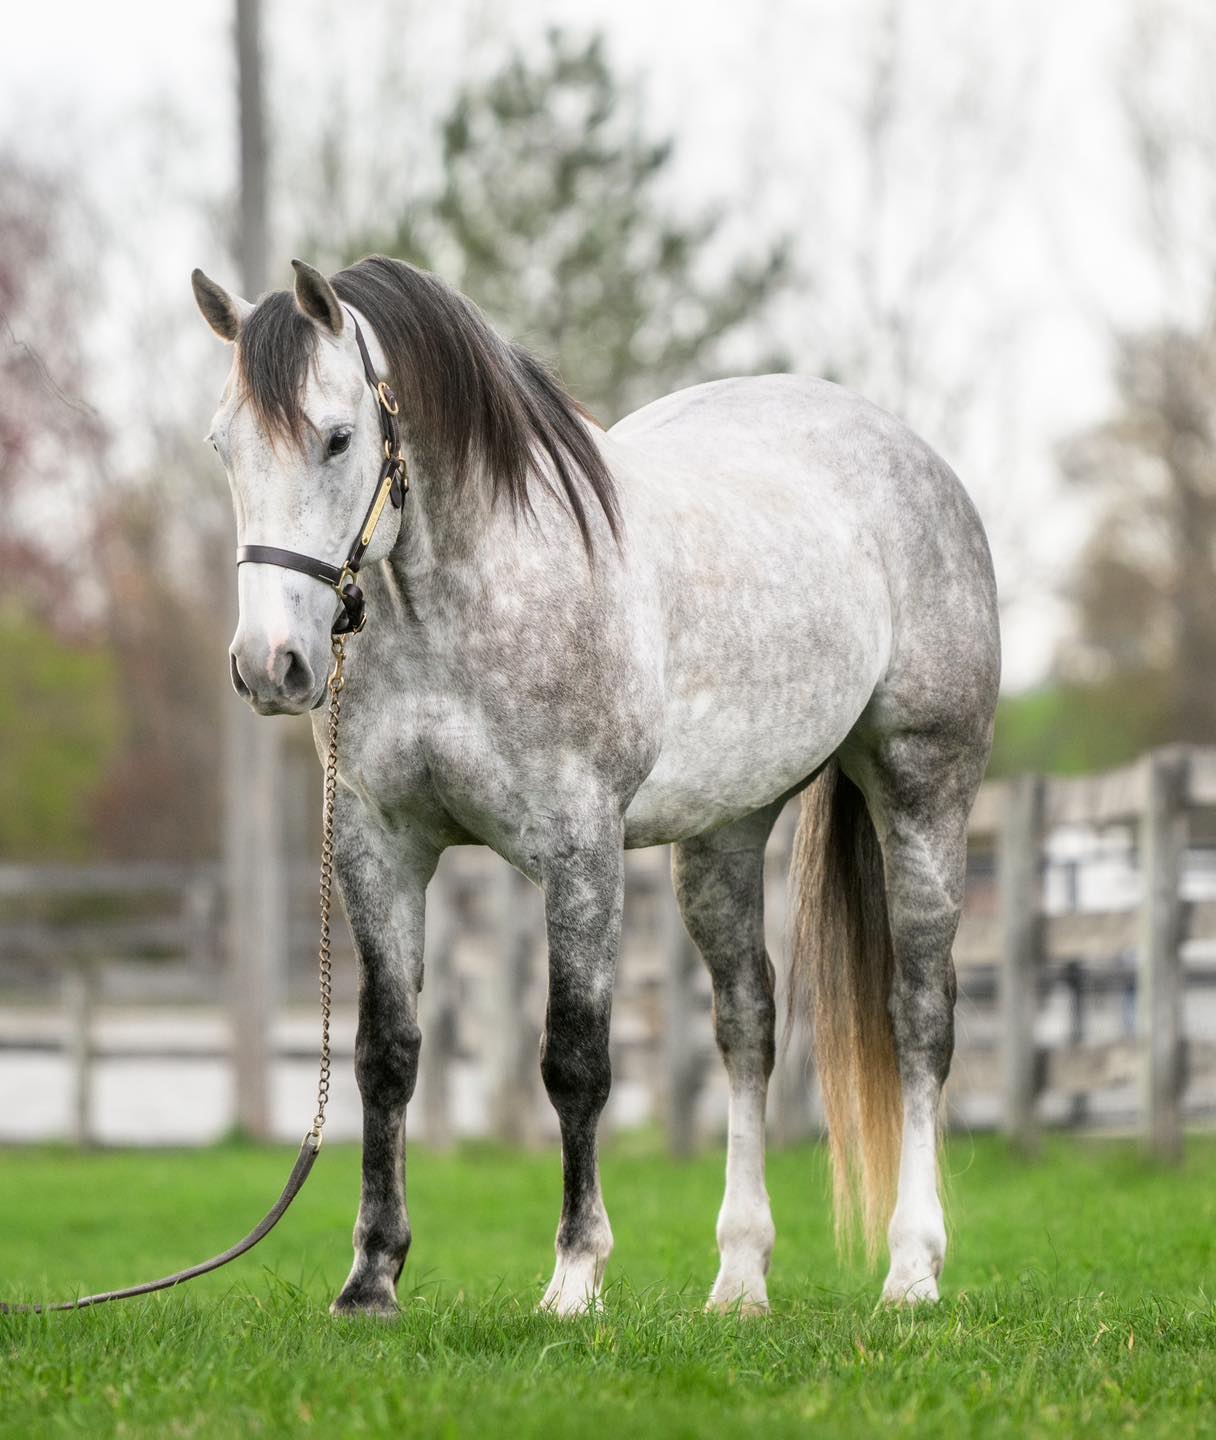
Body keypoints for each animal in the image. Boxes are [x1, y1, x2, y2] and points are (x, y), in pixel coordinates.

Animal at [191, 254, 1000, 1317]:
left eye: (336, 437)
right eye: (224, 445)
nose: (268, 666)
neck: (466, 599)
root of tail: (920, 462)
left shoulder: (581, 848)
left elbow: (574, 1059)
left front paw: (576, 1276)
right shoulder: (378, 846)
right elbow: (386, 1056)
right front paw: (371, 1279)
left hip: (921, 792)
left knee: (919, 1018)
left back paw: (913, 1270)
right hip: (725, 836)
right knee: (748, 1026)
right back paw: (740, 1279)